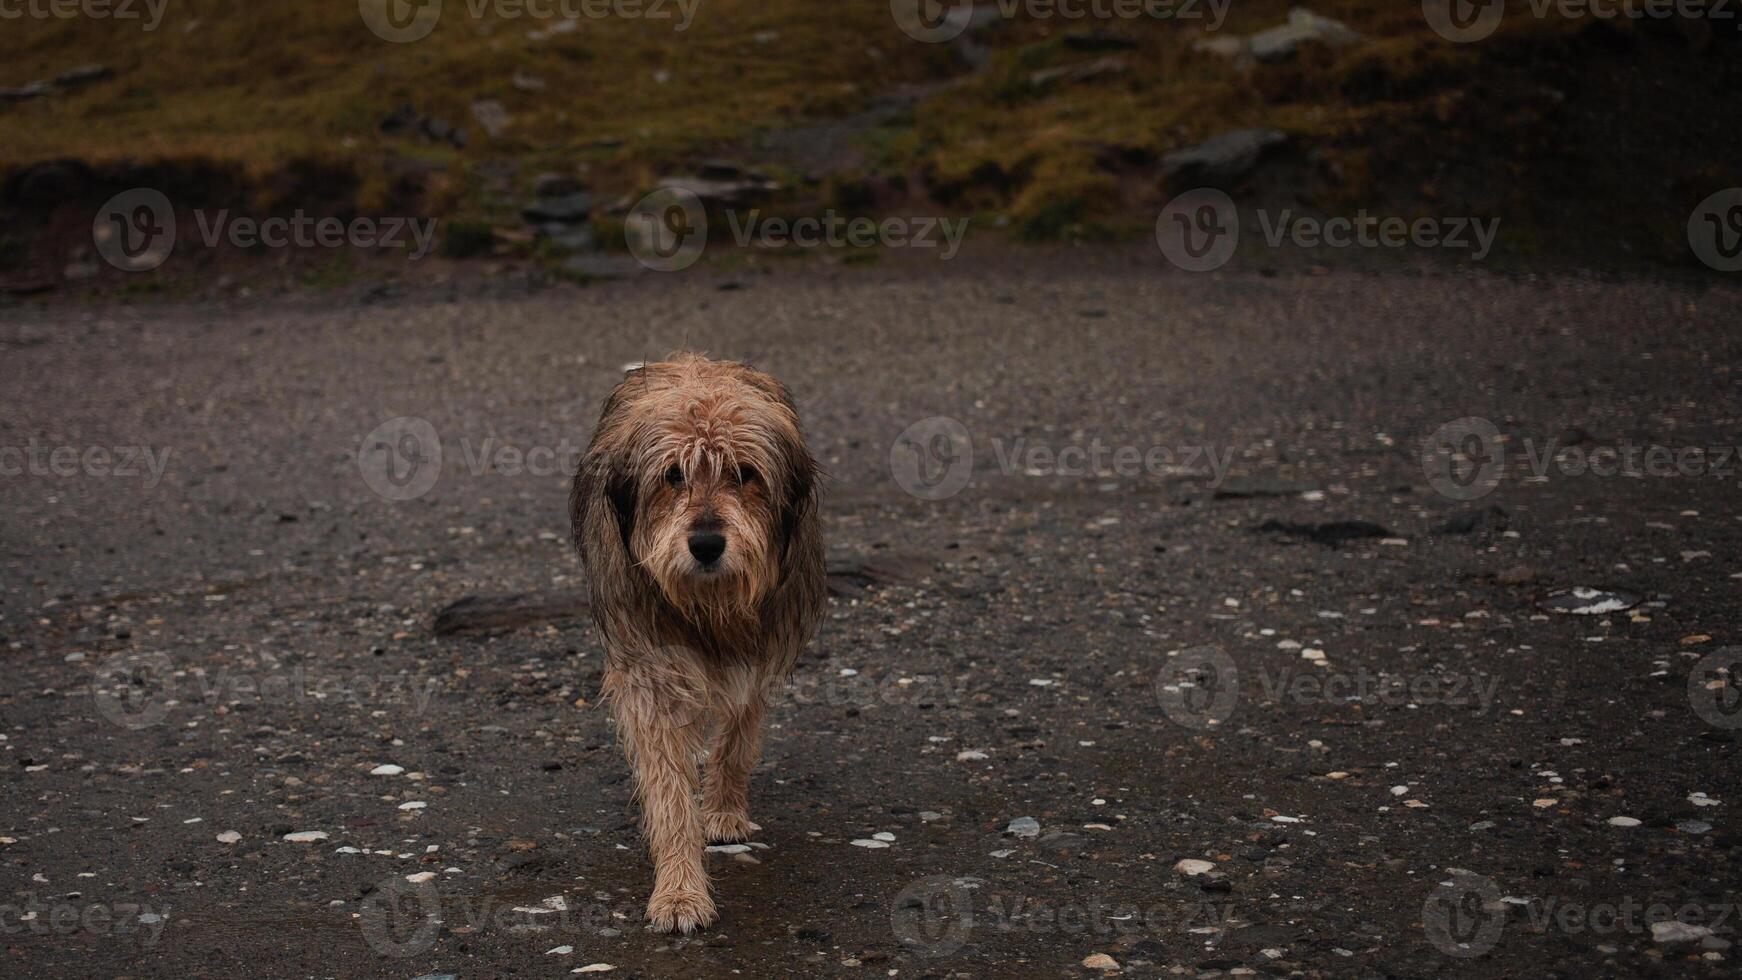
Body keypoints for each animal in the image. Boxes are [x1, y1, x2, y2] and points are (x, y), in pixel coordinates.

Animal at [564, 355, 822, 933]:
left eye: (744, 473)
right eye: (672, 475)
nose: (705, 544)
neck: (708, 603)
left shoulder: (761, 649)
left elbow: (739, 735)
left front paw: (722, 809)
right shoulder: (649, 667)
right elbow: (668, 789)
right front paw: (680, 891)